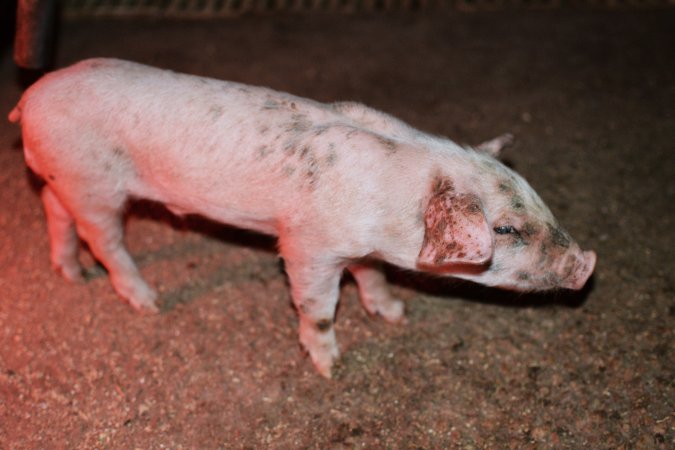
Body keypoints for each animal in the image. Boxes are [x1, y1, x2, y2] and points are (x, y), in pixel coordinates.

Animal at [7, 59, 596, 376]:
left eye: (539, 203)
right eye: (505, 230)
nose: (589, 262)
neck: (387, 209)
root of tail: (30, 98)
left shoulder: (360, 248)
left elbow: (371, 275)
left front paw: (395, 314)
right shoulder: (307, 245)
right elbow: (318, 308)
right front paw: (332, 367)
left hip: (64, 177)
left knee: (55, 212)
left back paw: (71, 274)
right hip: (94, 183)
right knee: (104, 240)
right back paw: (148, 301)